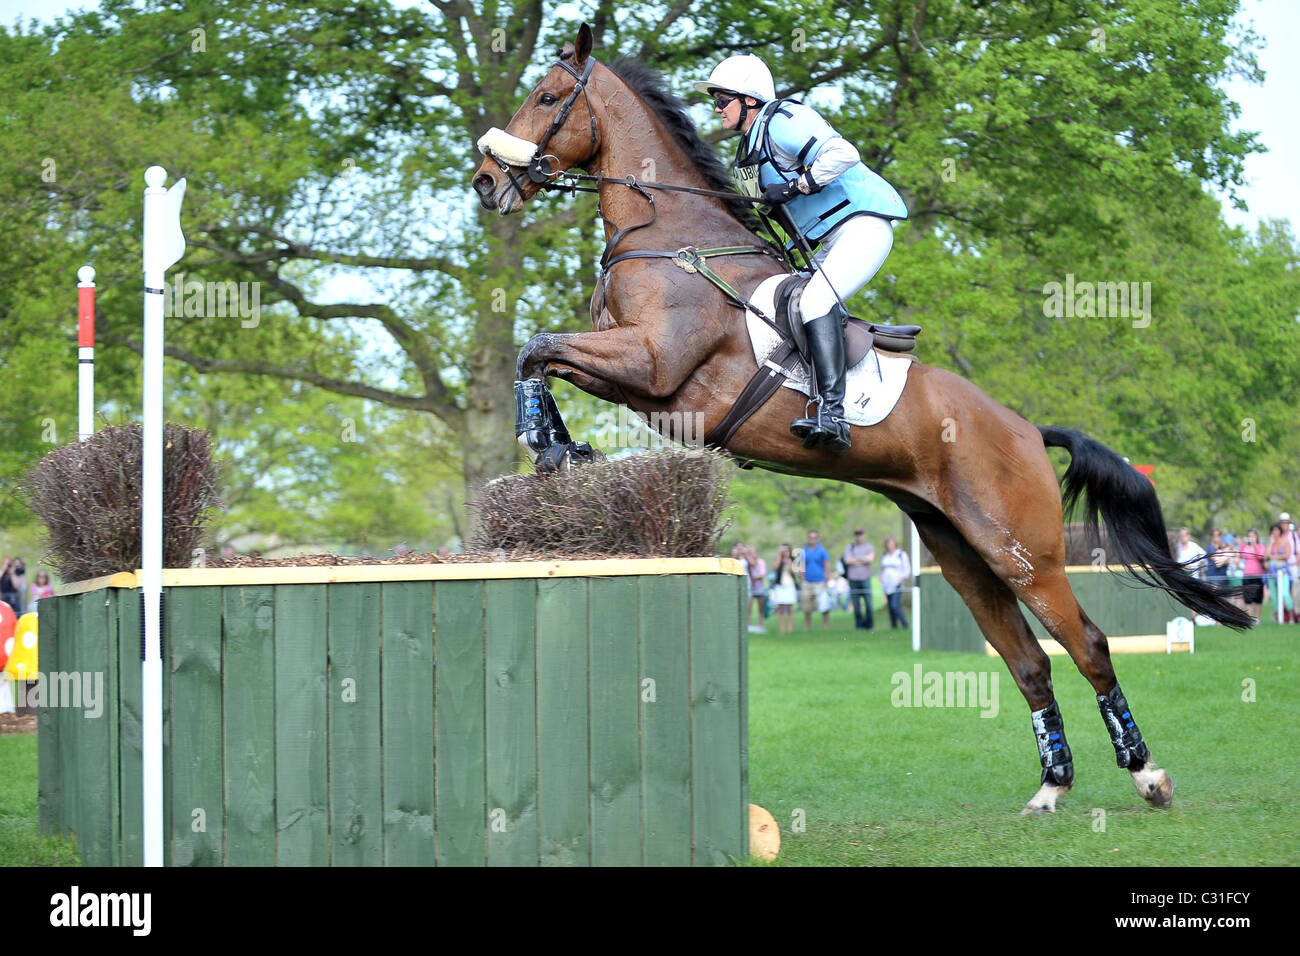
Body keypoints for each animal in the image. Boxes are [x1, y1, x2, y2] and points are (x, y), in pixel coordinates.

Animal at [470, 23, 1253, 815]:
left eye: (548, 97)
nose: (484, 180)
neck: (669, 233)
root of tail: (1030, 431)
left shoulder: (655, 366)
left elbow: (539, 347)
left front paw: (547, 446)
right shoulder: (629, 370)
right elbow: (542, 354)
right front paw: (562, 451)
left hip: (1021, 551)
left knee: (1086, 645)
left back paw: (1147, 775)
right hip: (959, 551)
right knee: (1029, 660)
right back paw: (1049, 787)